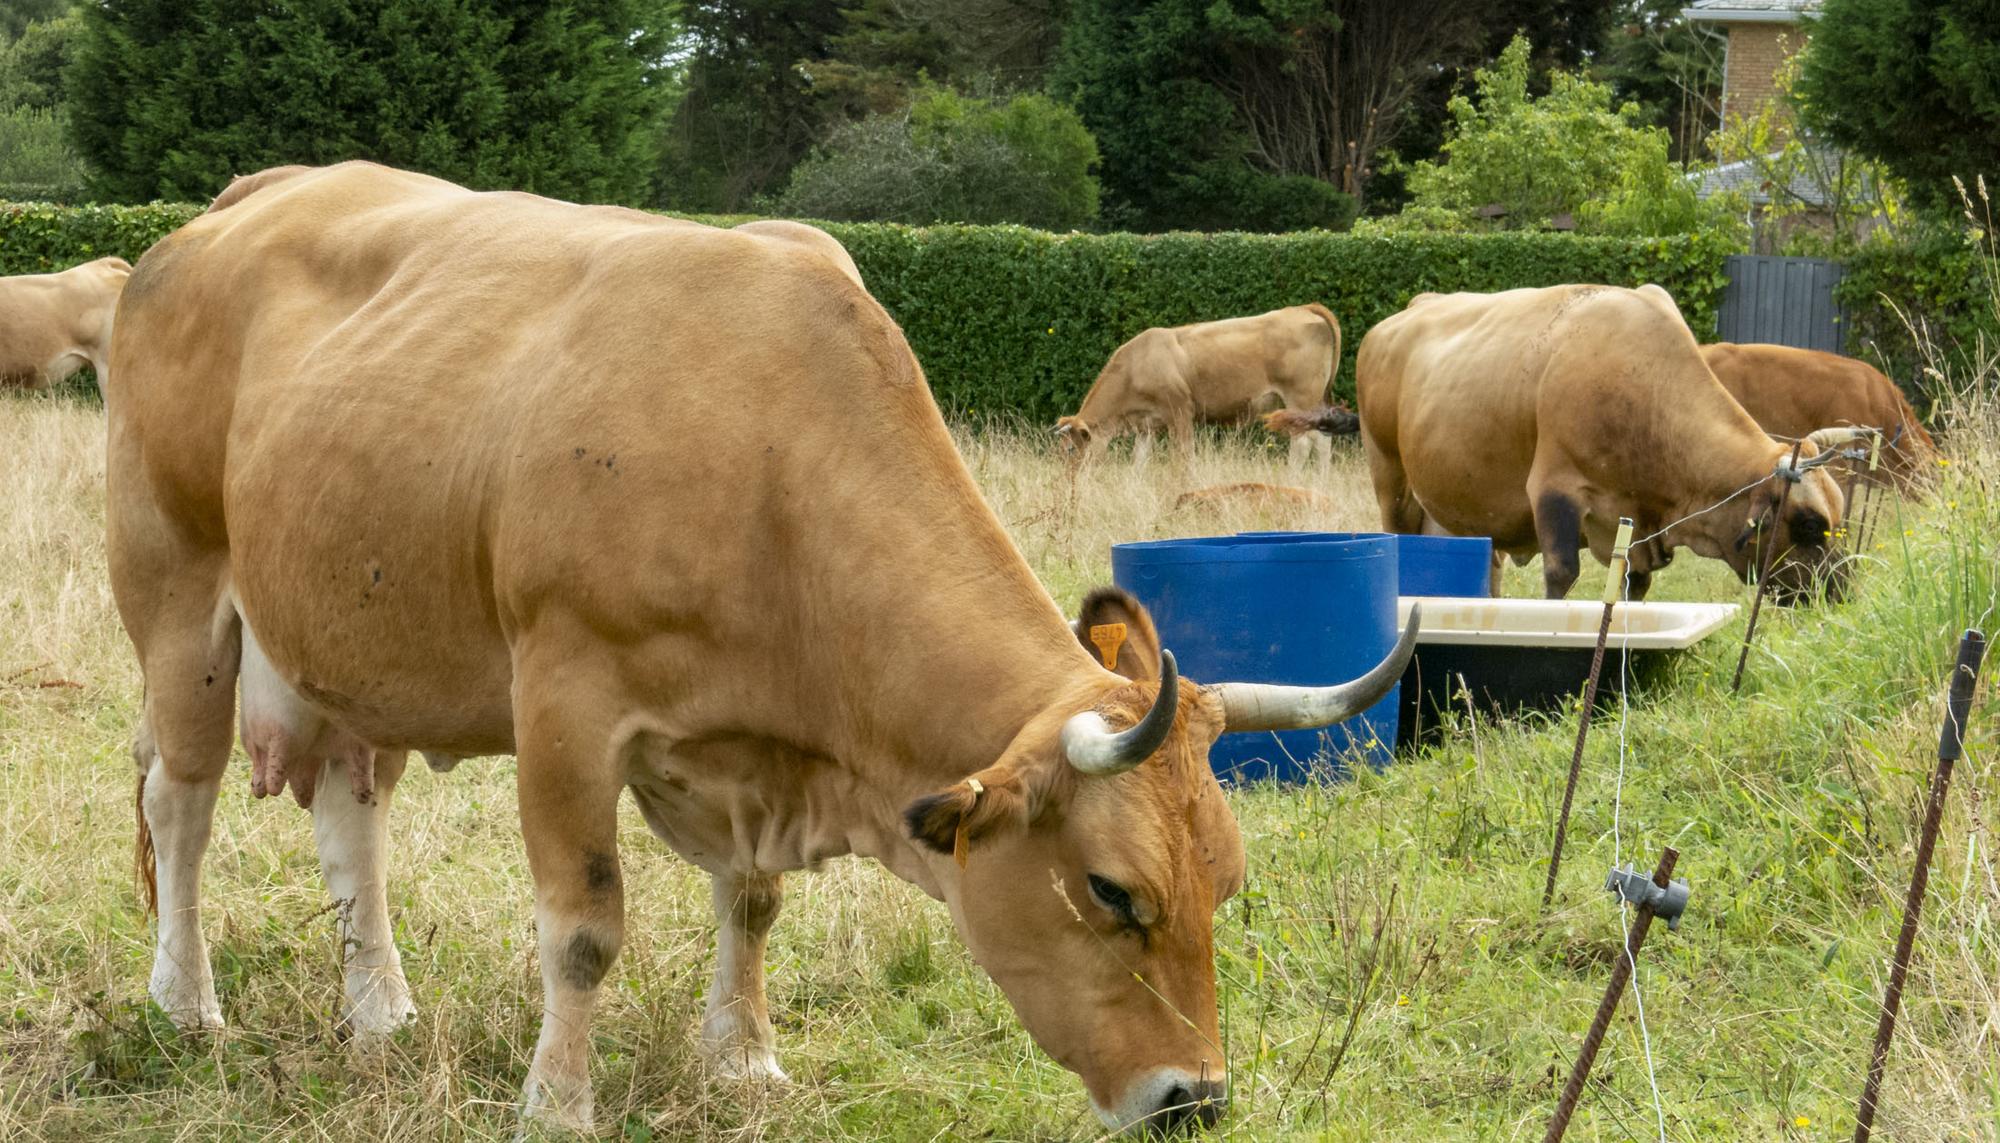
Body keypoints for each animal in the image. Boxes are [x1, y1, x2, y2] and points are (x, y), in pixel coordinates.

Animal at [1054, 305, 1344, 470]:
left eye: (1070, 449)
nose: (1069, 479)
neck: (1137, 364)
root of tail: (1304, 308)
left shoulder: (1181, 412)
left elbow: (1184, 457)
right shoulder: (1146, 426)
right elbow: (1139, 462)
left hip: (1301, 398)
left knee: (1303, 442)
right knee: (1323, 440)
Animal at [1356, 285, 1867, 602]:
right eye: (1807, 524)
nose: (1840, 592)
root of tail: (1410, 311)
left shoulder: (1639, 537)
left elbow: (1631, 591)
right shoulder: (1554, 492)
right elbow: (1561, 575)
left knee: (1488, 566)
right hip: (1391, 484)